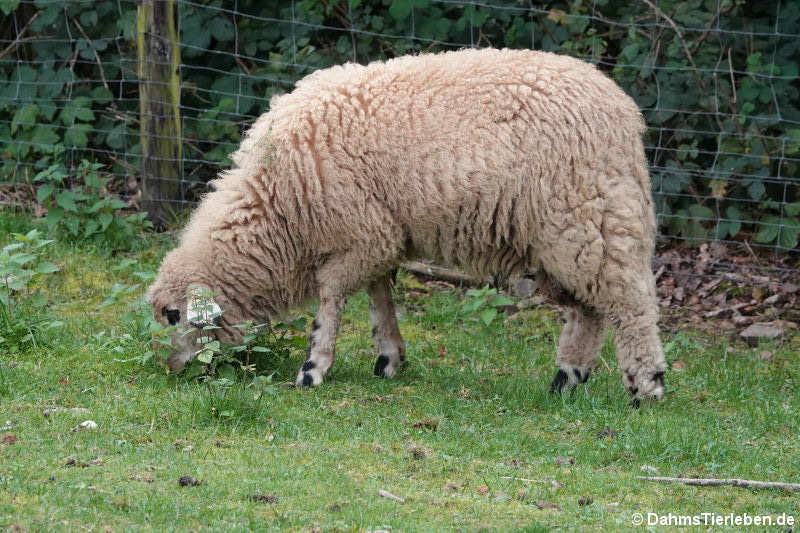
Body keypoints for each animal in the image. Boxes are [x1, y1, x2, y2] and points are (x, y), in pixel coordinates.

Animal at [145, 47, 668, 404]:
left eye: (173, 316)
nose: (169, 370)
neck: (277, 204)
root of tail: (625, 111)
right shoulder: (378, 238)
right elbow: (379, 297)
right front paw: (390, 357)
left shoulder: (361, 234)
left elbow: (330, 299)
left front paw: (314, 368)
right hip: (559, 240)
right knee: (589, 310)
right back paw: (566, 379)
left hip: (589, 217)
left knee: (631, 302)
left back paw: (647, 385)